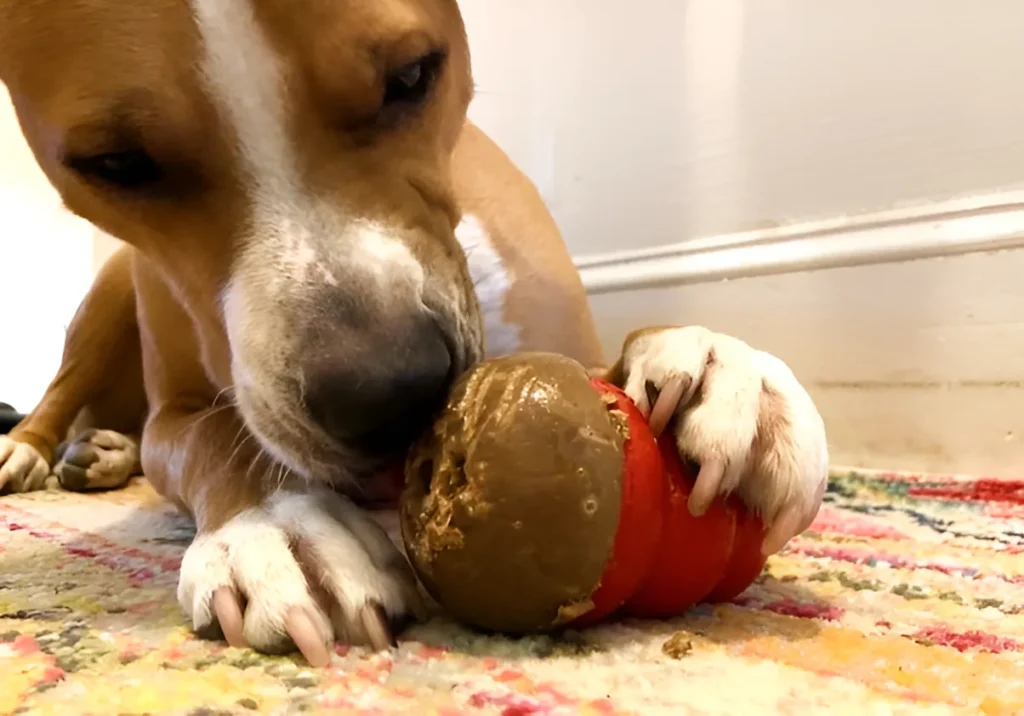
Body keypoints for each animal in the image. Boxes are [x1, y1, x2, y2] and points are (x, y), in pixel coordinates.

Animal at [0, 0, 827, 667]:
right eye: (115, 163)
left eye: (412, 75)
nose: (390, 396)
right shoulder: (177, 413)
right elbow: (211, 440)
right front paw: (280, 525)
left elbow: (615, 354)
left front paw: (714, 368)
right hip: (105, 298)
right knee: (64, 392)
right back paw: (34, 451)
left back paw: (99, 451)